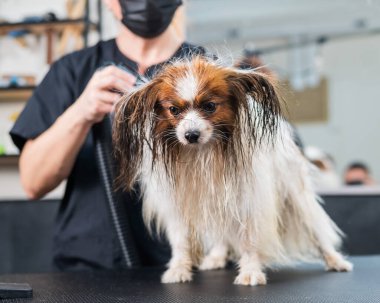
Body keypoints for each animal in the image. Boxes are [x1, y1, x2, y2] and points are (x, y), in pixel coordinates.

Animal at [113, 55, 354, 286]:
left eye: (210, 106)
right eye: (174, 110)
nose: (191, 135)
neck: (202, 152)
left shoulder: (248, 199)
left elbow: (249, 240)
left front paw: (250, 272)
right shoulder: (178, 205)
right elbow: (181, 241)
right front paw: (179, 269)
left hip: (295, 197)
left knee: (317, 231)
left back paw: (335, 261)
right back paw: (217, 257)